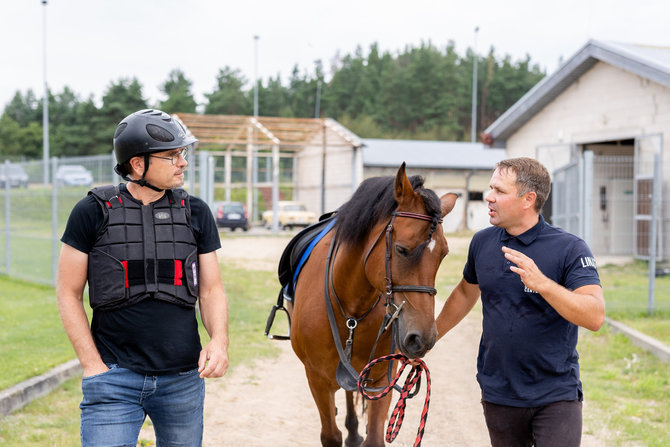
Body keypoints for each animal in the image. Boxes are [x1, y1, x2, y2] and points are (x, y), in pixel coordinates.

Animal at [286, 163, 460, 446]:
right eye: (401, 249)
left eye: (443, 254)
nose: (422, 338)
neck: (351, 308)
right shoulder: (316, 379)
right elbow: (330, 435)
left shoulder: (381, 376)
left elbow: (375, 436)